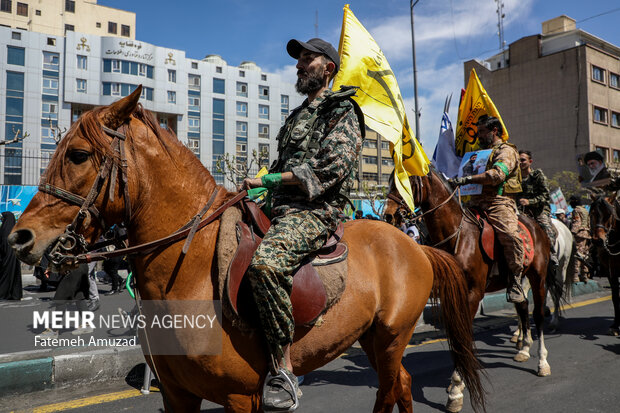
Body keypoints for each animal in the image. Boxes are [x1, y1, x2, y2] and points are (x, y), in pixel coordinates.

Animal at [7, 88, 486, 410]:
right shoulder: (178, 396)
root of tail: (414, 246)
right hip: (372, 339)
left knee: (392, 386)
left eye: (78, 155)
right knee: (400, 385)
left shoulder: (242, 397)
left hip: (390, 338)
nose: (20, 237)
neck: (190, 268)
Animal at [386, 168, 556, 412]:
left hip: (538, 277)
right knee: (522, 305)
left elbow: (463, 334)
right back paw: (523, 349)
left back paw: (542, 362)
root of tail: (537, 226)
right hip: (518, 279)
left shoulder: (473, 294)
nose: (388, 215)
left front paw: (456, 388)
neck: (457, 235)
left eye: (406, 181)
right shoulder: (450, 294)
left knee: (539, 315)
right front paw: (457, 383)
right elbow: (456, 334)